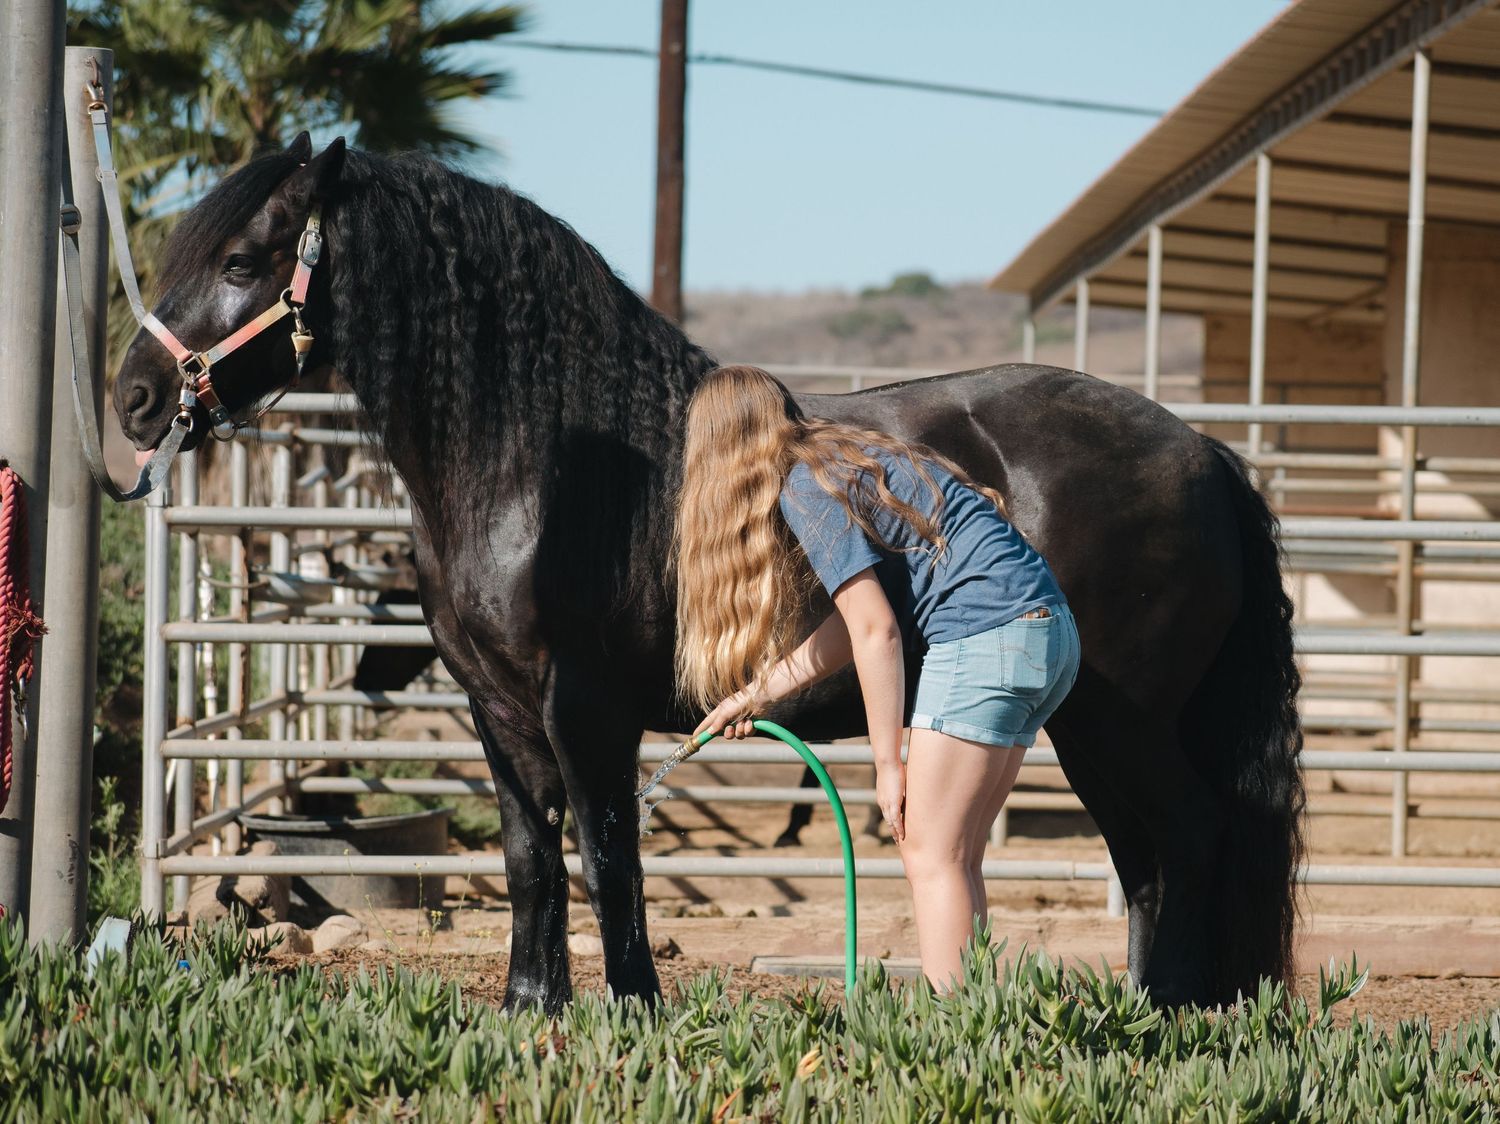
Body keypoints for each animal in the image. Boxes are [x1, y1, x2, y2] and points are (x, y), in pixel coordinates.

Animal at [114, 133, 1305, 1012]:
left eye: (239, 262)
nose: (132, 398)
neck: (547, 454)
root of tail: (1206, 454)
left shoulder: (585, 706)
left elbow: (608, 856)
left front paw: (632, 1008)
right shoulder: (498, 707)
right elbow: (530, 856)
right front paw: (530, 1008)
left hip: (1121, 718)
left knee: (1188, 838)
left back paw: (1174, 1018)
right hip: (1084, 725)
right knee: (1150, 860)